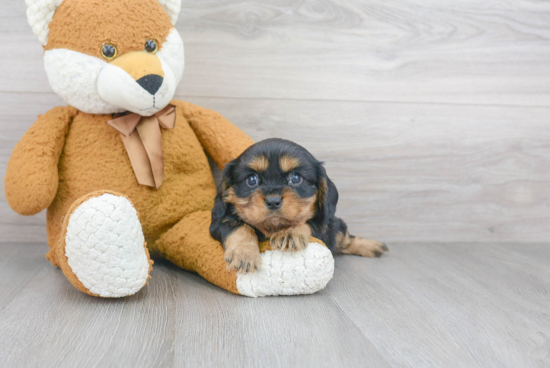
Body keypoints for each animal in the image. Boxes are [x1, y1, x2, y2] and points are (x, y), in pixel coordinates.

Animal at [210, 138, 388, 274]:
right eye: (252, 180)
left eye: (296, 178)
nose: (273, 201)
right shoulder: (218, 223)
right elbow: (241, 227)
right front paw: (244, 254)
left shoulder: (323, 226)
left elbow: (306, 222)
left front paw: (290, 233)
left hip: (335, 224)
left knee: (345, 238)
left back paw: (373, 246)